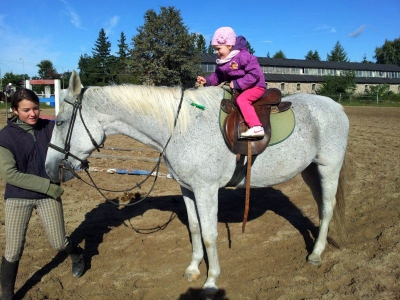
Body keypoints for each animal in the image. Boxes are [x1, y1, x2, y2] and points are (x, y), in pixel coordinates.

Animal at [45, 71, 348, 298]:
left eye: (59, 122)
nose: (49, 168)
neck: (179, 127)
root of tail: (337, 107)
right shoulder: (188, 189)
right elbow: (194, 228)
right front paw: (193, 268)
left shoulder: (206, 190)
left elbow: (210, 234)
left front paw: (211, 281)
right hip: (310, 171)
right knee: (320, 206)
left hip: (328, 168)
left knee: (327, 208)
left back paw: (316, 254)